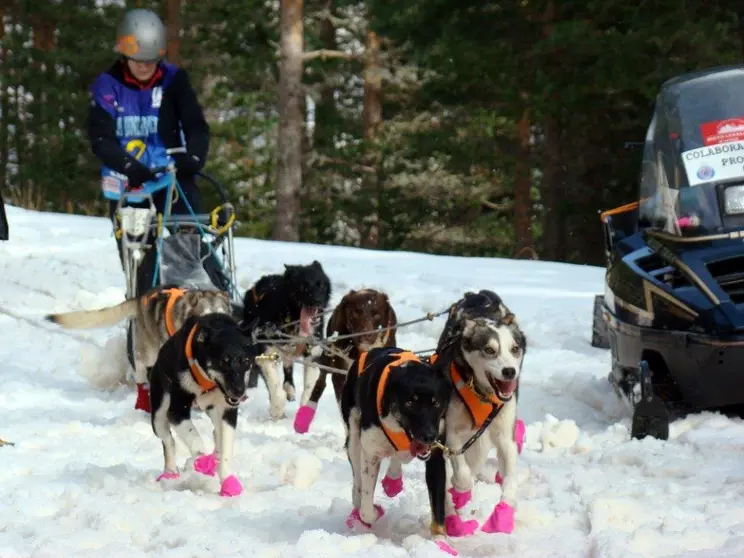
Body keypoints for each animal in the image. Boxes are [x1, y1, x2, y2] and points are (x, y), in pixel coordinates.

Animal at [147, 312, 262, 500]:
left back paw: (215, 456)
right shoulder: (177, 411)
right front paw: (201, 461)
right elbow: (194, 438)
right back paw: (171, 471)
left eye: (246, 360)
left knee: (216, 432)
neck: (208, 382)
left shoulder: (228, 411)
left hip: (213, 409)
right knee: (168, 440)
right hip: (159, 411)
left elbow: (226, 444)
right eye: (223, 361)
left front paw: (226, 477)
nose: (239, 391)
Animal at [241, 260, 332, 422]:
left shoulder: (313, 354)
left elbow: (309, 387)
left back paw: (289, 388)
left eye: (320, 284)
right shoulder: (265, 353)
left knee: (288, 365)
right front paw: (277, 410)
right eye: (303, 286)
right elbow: (275, 388)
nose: (317, 301)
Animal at [292, 290, 398, 436]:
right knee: (321, 382)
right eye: (356, 312)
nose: (366, 334)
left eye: (376, 313)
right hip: (329, 356)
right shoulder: (340, 375)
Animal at [338, 348, 454, 548]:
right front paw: (374, 511)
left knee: (396, 457)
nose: (429, 436)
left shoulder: (436, 456)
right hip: (353, 436)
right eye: (410, 402)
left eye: (436, 402)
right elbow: (366, 509)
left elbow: (437, 501)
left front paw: (439, 540)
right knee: (358, 481)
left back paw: (393, 479)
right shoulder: (371, 452)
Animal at [430, 288, 528, 540]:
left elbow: (510, 478)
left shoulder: (505, 438)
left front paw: (503, 515)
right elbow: (462, 472)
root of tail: (480, 294)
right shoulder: (452, 433)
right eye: (489, 350)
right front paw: (460, 491)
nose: (509, 371)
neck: (483, 395)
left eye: (514, 349)